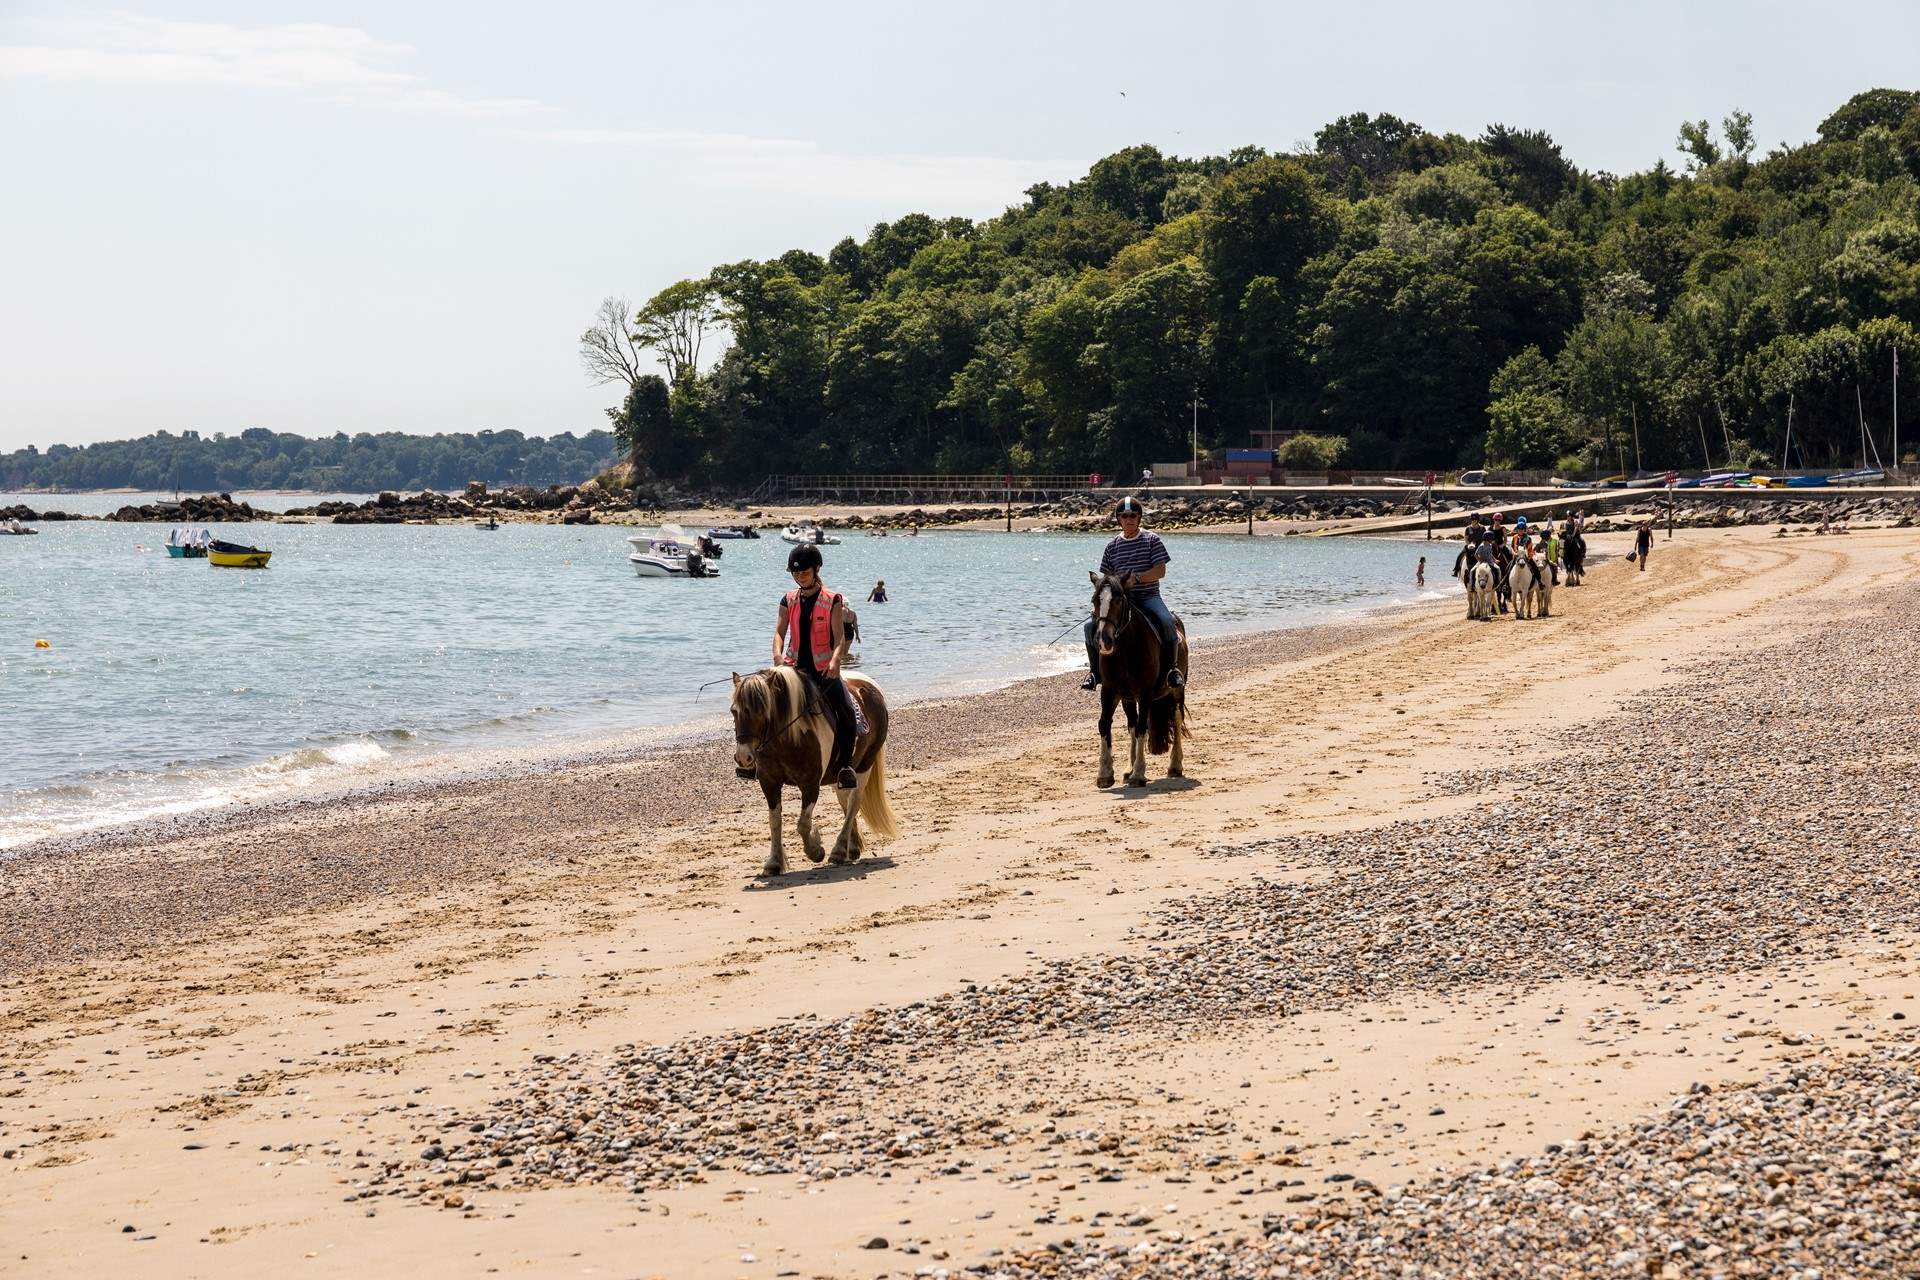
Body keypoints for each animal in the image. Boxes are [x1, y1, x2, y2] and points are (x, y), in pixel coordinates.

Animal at [730, 666, 896, 876]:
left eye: (761, 710)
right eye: (733, 711)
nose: (743, 756)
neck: (788, 736)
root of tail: (870, 685)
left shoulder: (810, 784)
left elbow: (803, 824)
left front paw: (816, 851)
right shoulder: (769, 783)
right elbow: (774, 822)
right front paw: (774, 863)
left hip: (865, 765)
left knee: (854, 803)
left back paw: (839, 850)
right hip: (839, 775)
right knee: (845, 800)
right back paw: (852, 847)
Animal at [1088, 571, 1188, 788]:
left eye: (1118, 600)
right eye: (1095, 600)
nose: (1103, 641)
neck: (1124, 650)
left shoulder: (1144, 693)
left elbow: (1143, 727)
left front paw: (1139, 774)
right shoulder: (1109, 690)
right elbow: (1104, 724)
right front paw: (1105, 774)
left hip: (1177, 691)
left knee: (1176, 718)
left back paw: (1175, 765)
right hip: (1127, 698)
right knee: (1132, 724)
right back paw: (1128, 768)